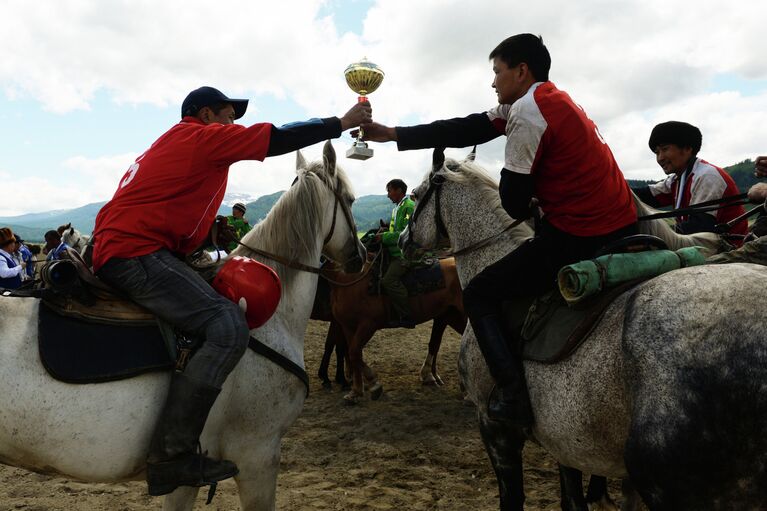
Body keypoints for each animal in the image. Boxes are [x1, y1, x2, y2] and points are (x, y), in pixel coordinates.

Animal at [326, 256, 464, 404]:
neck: (347, 281)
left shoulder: (368, 325)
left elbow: (354, 353)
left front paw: (373, 384)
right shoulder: (348, 327)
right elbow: (354, 355)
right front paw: (356, 391)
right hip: (452, 316)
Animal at [402, 150, 767, 510]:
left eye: (415, 195)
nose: (404, 239)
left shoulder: (495, 429)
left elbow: (513, 497)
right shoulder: (566, 441)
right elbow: (572, 499)